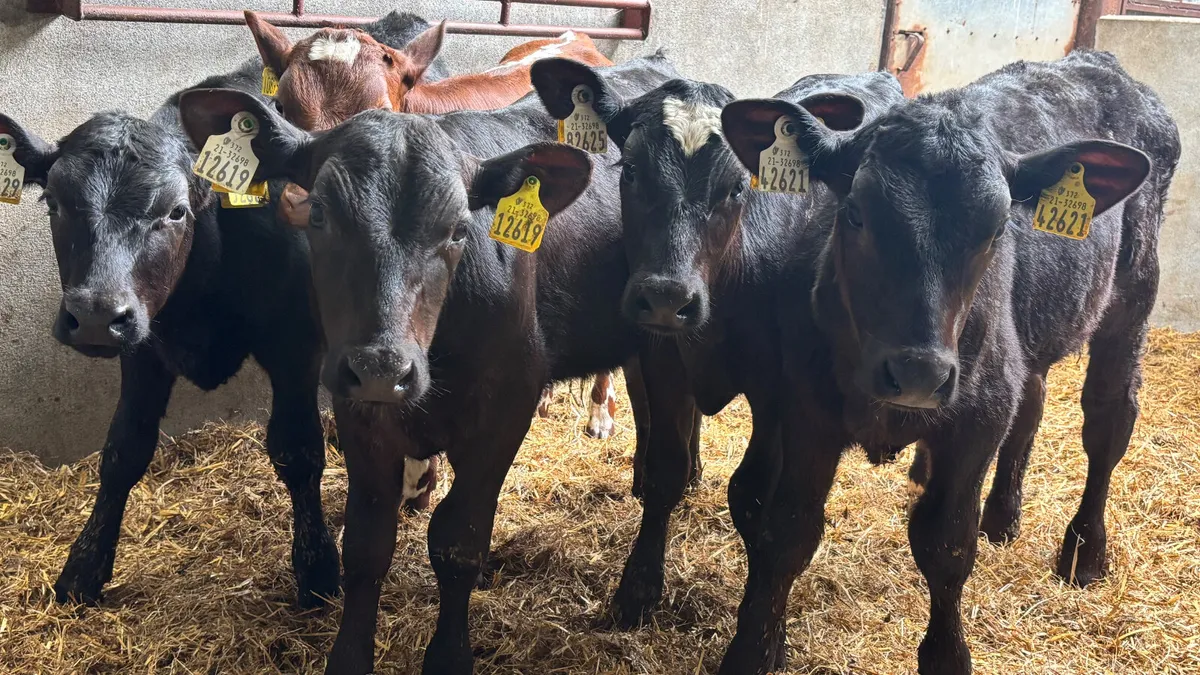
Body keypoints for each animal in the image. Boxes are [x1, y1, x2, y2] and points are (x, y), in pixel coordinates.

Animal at [531, 60, 906, 654]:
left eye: (735, 188)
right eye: (630, 171)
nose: (667, 297)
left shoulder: (779, 393)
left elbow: (754, 499)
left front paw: (765, 626)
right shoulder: (663, 360)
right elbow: (665, 471)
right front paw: (637, 589)